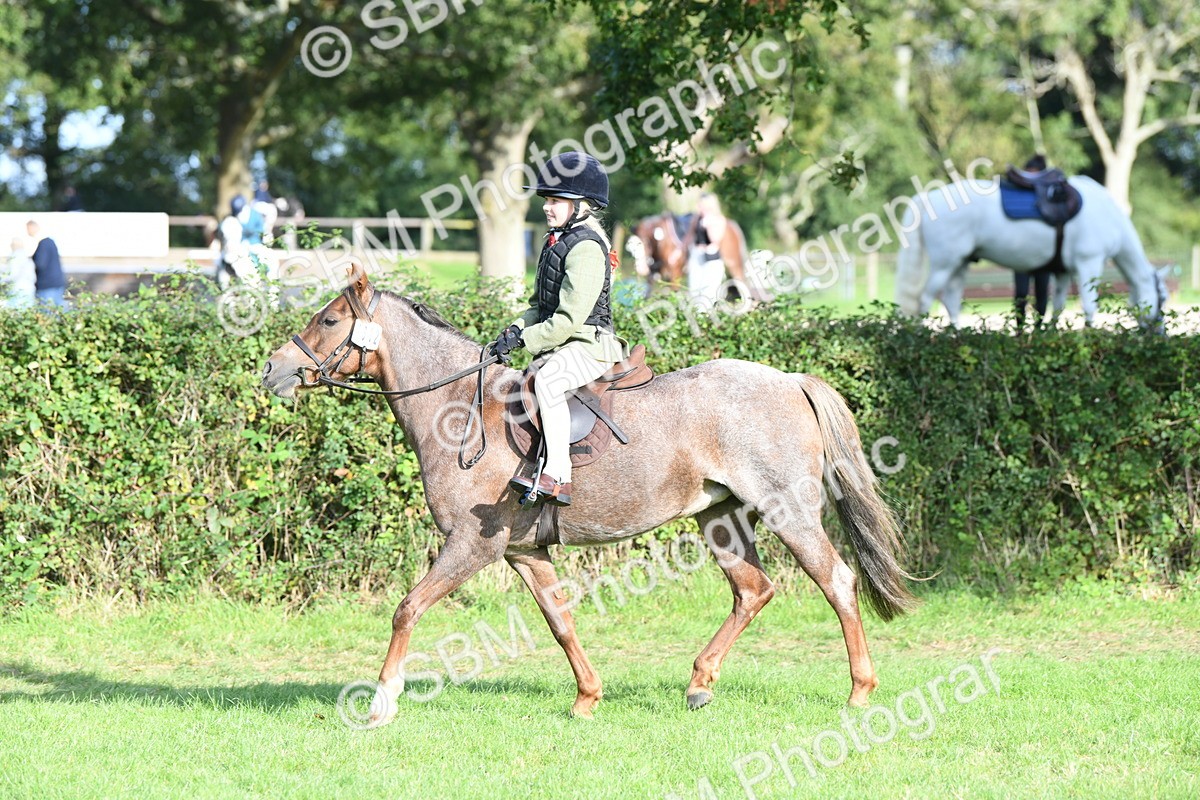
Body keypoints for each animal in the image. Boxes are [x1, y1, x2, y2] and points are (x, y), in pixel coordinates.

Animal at [261, 263, 917, 726]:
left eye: (327, 321)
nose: (272, 370)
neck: (461, 410)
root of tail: (789, 379)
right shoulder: (525, 552)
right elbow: (560, 622)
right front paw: (587, 699)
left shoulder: (471, 545)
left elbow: (407, 609)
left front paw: (381, 703)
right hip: (721, 519)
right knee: (753, 590)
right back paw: (699, 684)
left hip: (790, 513)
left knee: (836, 581)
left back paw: (860, 691)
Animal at [894, 175, 1166, 328]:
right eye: (1162, 300)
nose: (1159, 335)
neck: (1109, 216)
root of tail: (926, 198)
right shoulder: (1089, 262)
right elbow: (1089, 306)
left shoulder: (1063, 271)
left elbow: (1057, 309)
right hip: (944, 264)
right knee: (923, 302)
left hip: (960, 263)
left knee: (951, 302)